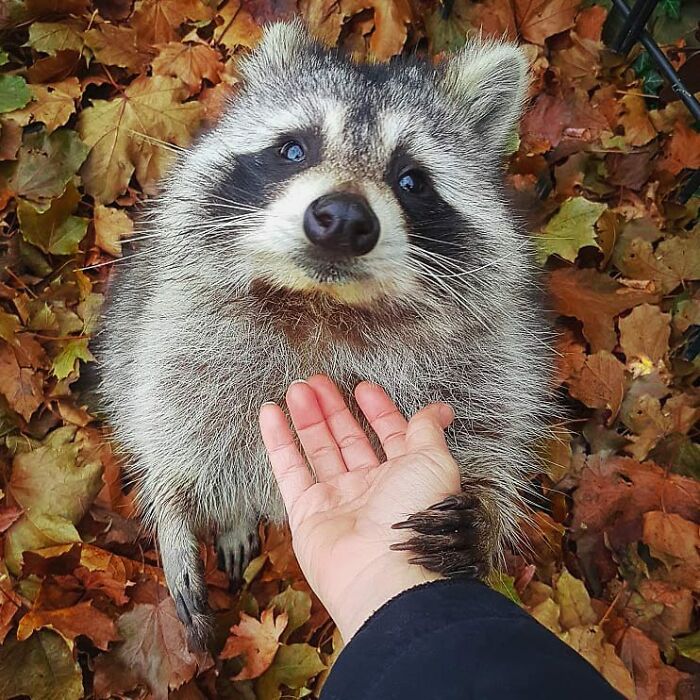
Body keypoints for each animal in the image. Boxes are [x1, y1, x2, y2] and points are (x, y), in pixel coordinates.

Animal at [97, 20, 554, 648]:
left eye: (412, 180)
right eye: (294, 149)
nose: (342, 218)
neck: (322, 307)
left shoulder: (495, 355)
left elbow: (495, 431)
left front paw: (483, 515)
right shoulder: (171, 326)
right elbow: (161, 419)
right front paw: (171, 510)